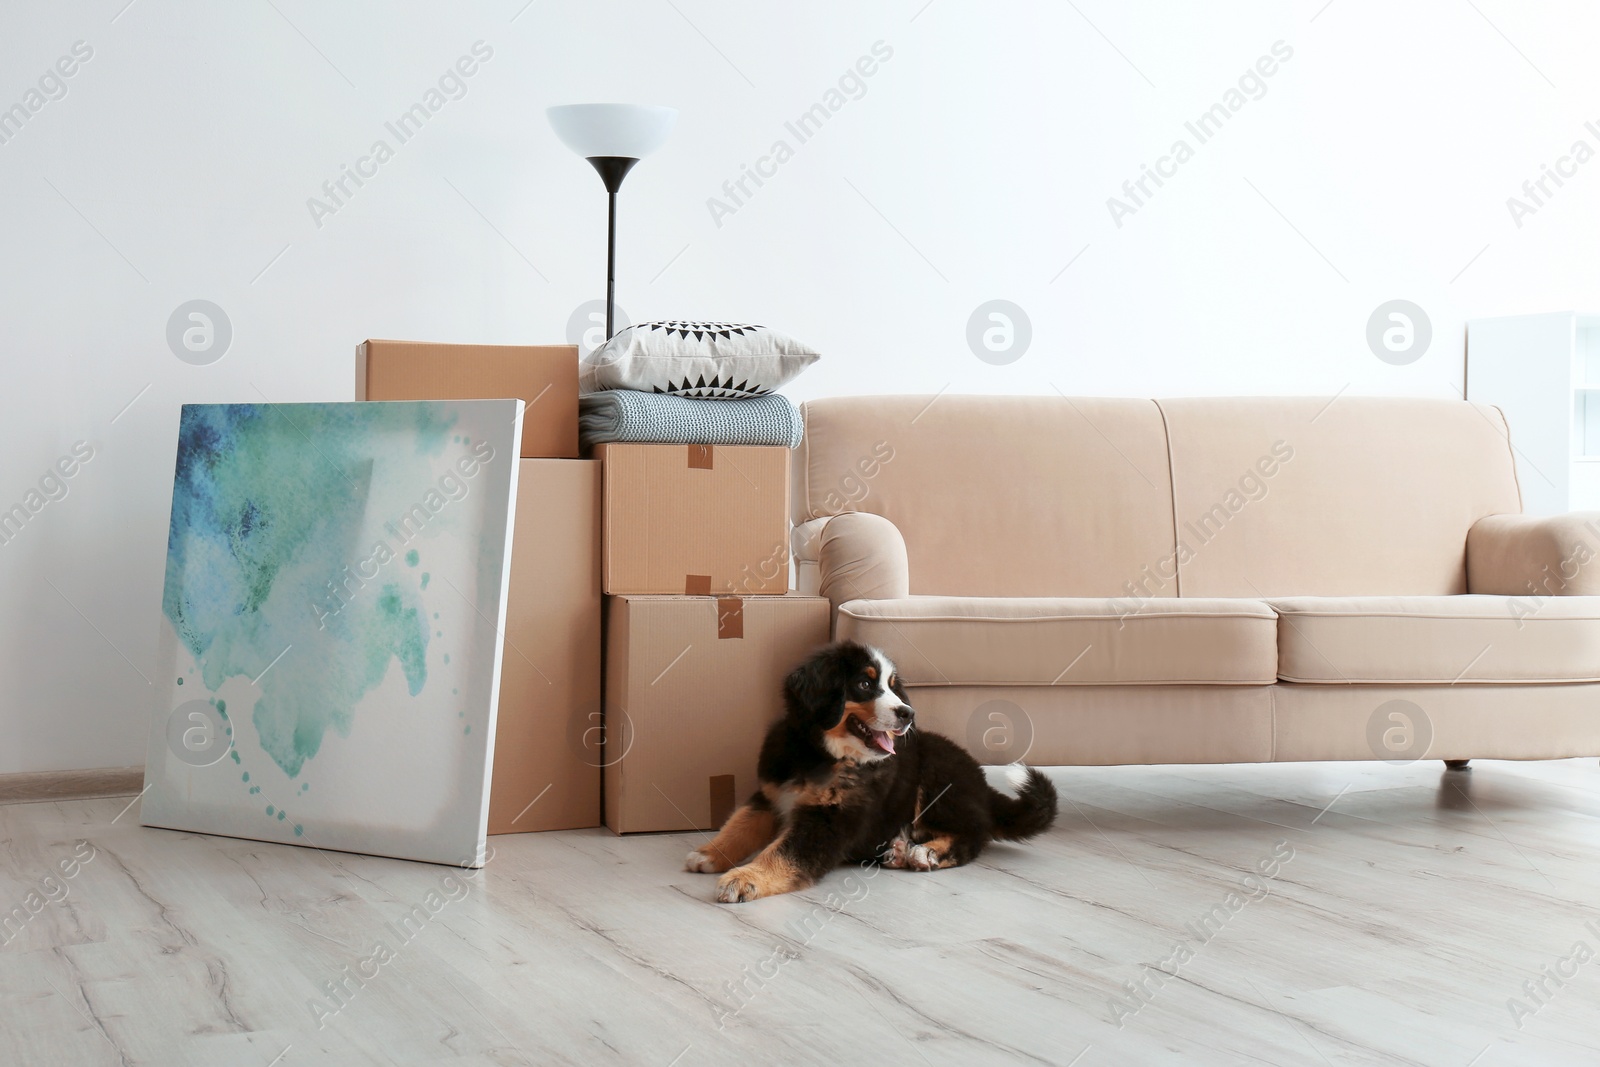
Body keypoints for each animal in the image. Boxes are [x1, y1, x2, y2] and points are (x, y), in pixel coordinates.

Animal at [681, 643, 1056, 902]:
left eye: (892, 686)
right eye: (864, 684)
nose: (907, 713)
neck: (819, 754)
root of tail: (982, 783)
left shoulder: (830, 817)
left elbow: (783, 851)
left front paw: (744, 878)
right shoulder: (771, 794)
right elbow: (739, 824)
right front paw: (709, 853)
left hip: (939, 781)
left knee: (973, 835)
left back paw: (926, 853)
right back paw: (898, 851)